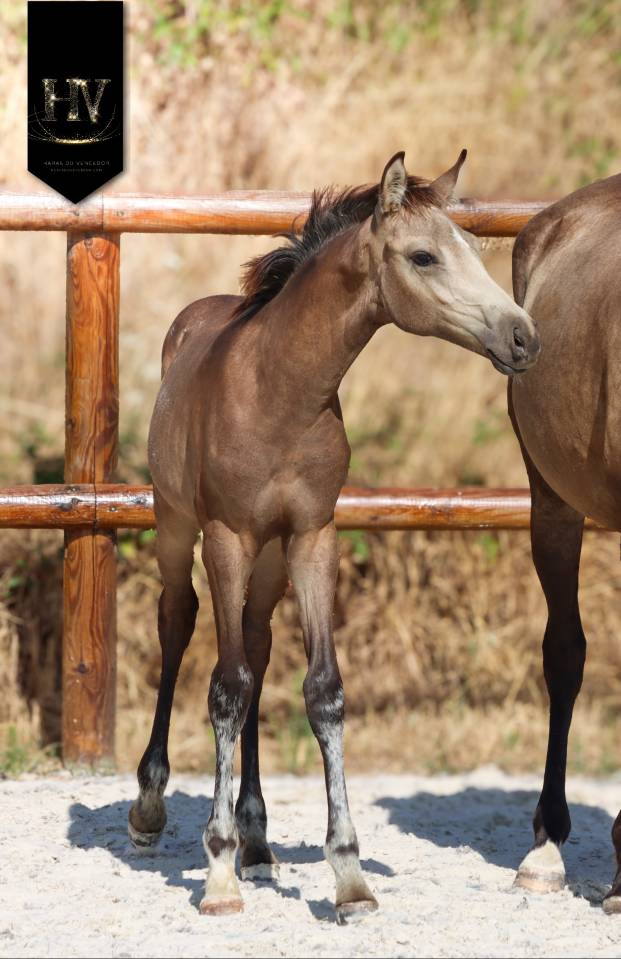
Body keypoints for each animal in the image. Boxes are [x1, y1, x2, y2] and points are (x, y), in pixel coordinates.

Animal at [128, 150, 540, 922]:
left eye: (474, 250)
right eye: (423, 256)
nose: (524, 337)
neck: (278, 392)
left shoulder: (314, 536)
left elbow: (321, 690)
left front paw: (348, 877)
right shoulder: (225, 535)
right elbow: (224, 688)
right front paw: (218, 871)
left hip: (267, 558)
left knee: (256, 645)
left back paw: (259, 840)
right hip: (177, 526)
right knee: (178, 624)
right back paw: (150, 806)